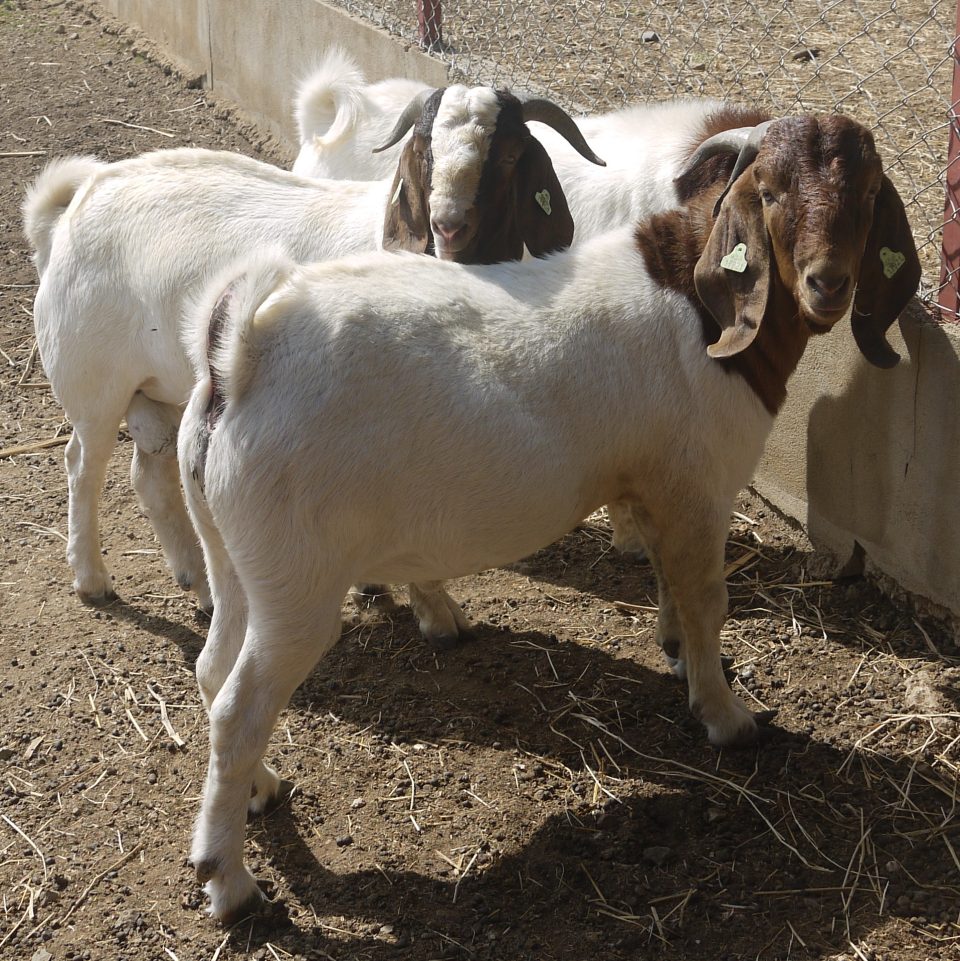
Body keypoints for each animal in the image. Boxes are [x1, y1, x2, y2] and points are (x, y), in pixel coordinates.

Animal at [24, 86, 600, 608]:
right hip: (91, 382)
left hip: (161, 389)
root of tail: (82, 198)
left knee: (151, 474)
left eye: (509, 154)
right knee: (82, 464)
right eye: (425, 150)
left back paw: (198, 582)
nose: (449, 225)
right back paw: (92, 579)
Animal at [176, 112, 920, 924]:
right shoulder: (699, 487)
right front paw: (728, 717)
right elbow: (706, 599)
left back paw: (261, 791)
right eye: (772, 192)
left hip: (235, 554)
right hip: (298, 579)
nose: (827, 283)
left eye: (869, 192)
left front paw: (675, 654)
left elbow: (668, 581)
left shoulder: (653, 486)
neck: (699, 306)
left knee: (213, 666)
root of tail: (241, 359)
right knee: (239, 707)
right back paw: (229, 881)